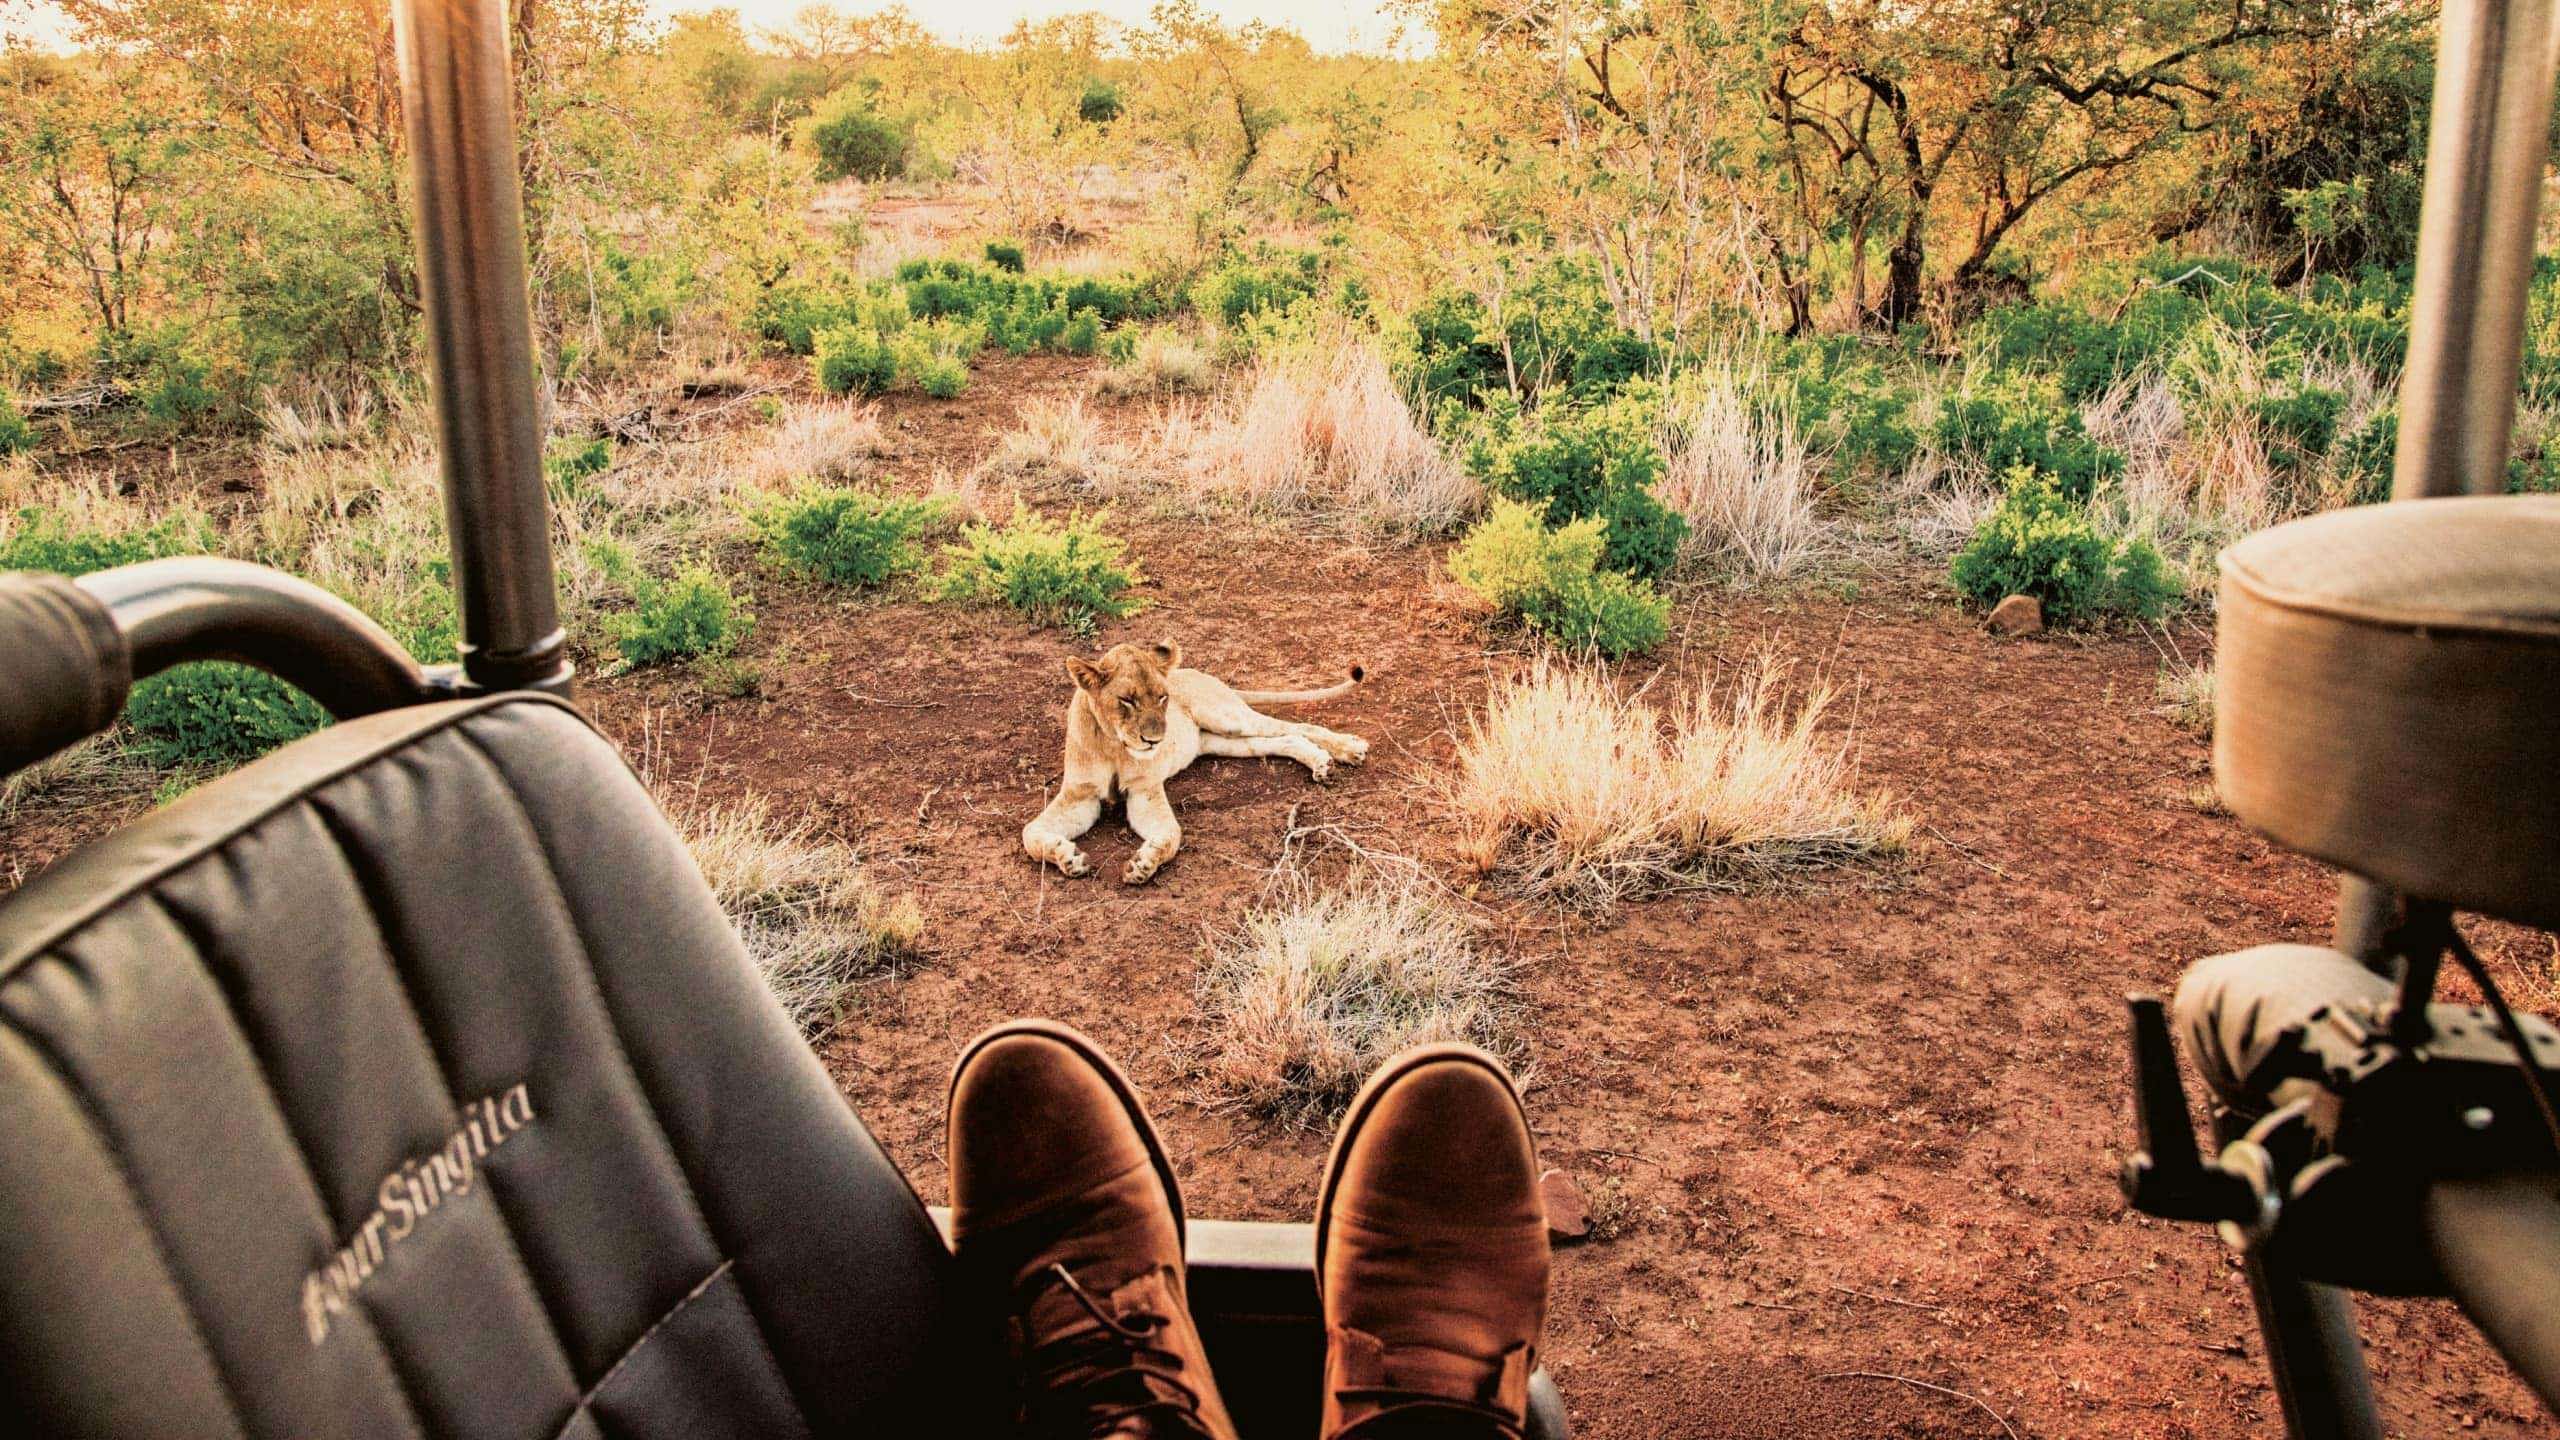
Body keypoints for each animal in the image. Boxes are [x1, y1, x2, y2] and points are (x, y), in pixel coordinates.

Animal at [1023, 639, 1368, 884]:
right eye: (1127, 700)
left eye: (1162, 697)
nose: (1155, 740)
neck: (1114, 745)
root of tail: (1197, 672)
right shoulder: (1079, 796)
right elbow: (1030, 834)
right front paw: (1068, 858)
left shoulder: (1144, 792)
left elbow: (1170, 835)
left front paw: (1144, 864)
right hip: (1221, 741)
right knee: (1285, 739)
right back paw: (1321, 763)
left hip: (1227, 717)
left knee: (1298, 727)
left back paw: (1348, 749)